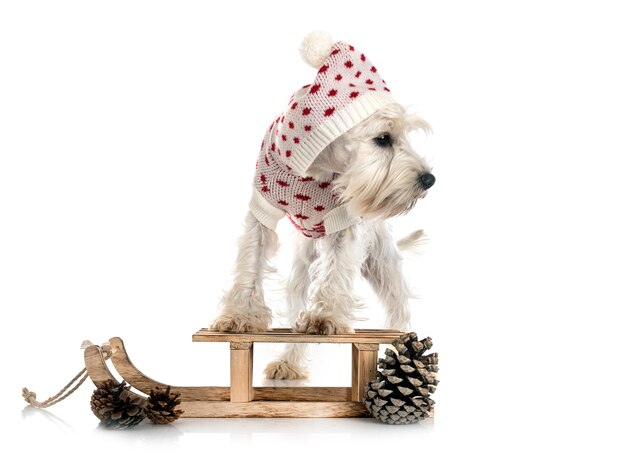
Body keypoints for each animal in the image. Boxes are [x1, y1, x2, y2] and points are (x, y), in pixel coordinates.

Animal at [210, 31, 434, 378]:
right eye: (383, 138)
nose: (428, 179)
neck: (317, 168)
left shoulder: (344, 226)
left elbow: (336, 271)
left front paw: (325, 317)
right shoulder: (262, 210)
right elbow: (250, 262)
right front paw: (239, 316)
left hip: (383, 264)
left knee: (399, 306)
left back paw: (401, 350)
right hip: (301, 271)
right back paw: (288, 362)